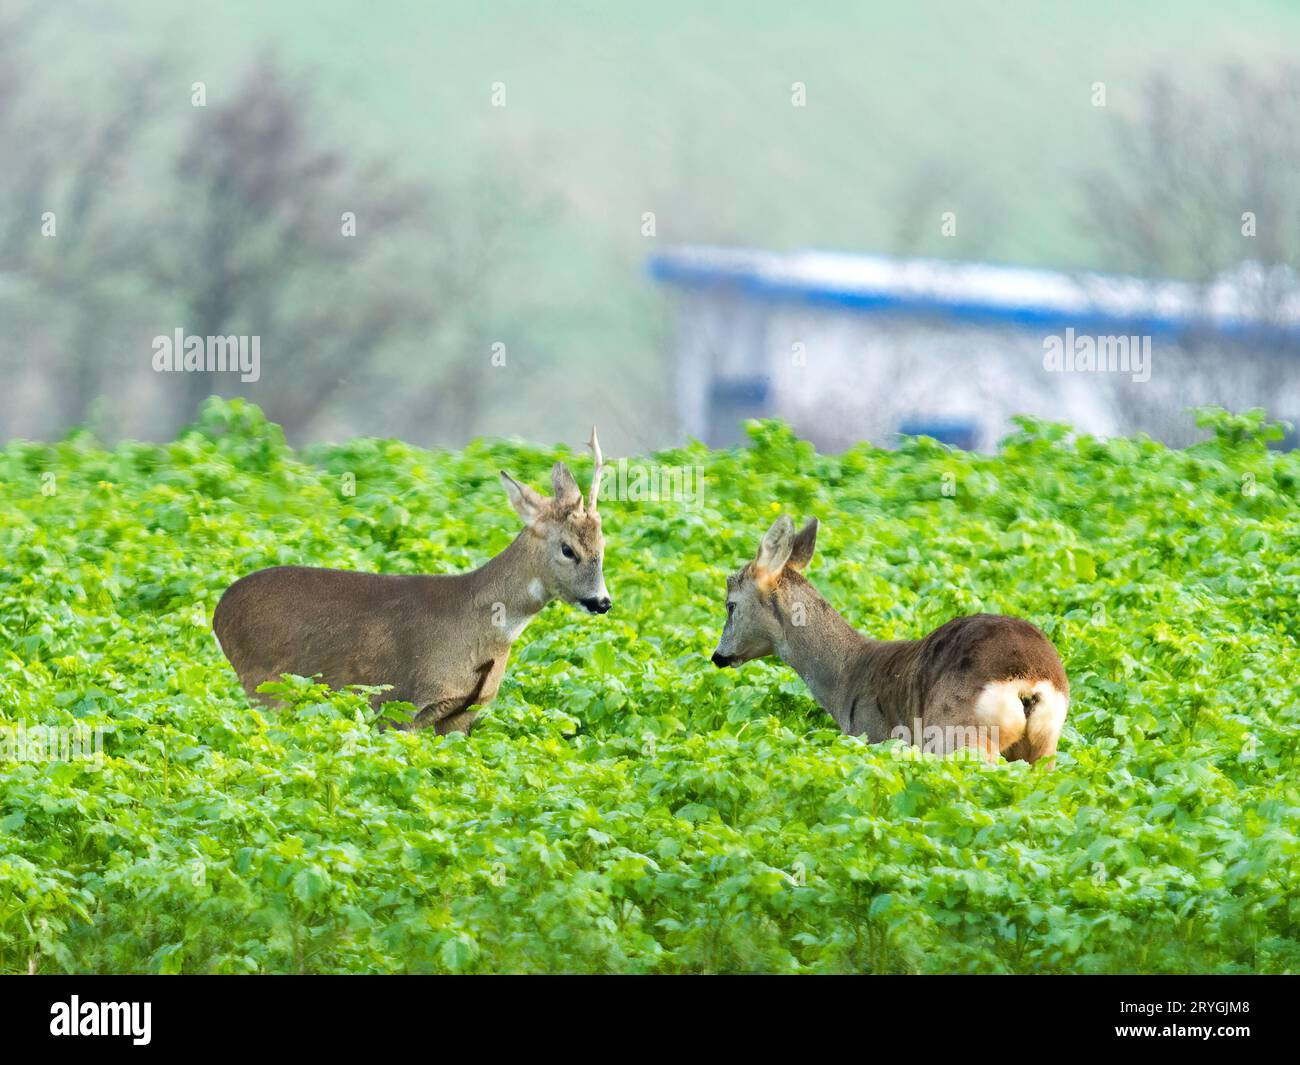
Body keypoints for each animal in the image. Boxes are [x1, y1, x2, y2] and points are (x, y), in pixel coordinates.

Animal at [214, 426, 613, 733]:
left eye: (603, 544)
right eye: (567, 549)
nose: (603, 601)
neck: (481, 628)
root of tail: (219, 613)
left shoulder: (461, 716)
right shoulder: (399, 703)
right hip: (265, 684)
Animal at [712, 517, 1066, 764]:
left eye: (730, 604)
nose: (718, 656)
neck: (847, 678)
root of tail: (1030, 682)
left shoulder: (872, 735)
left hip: (958, 735)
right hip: (1043, 748)